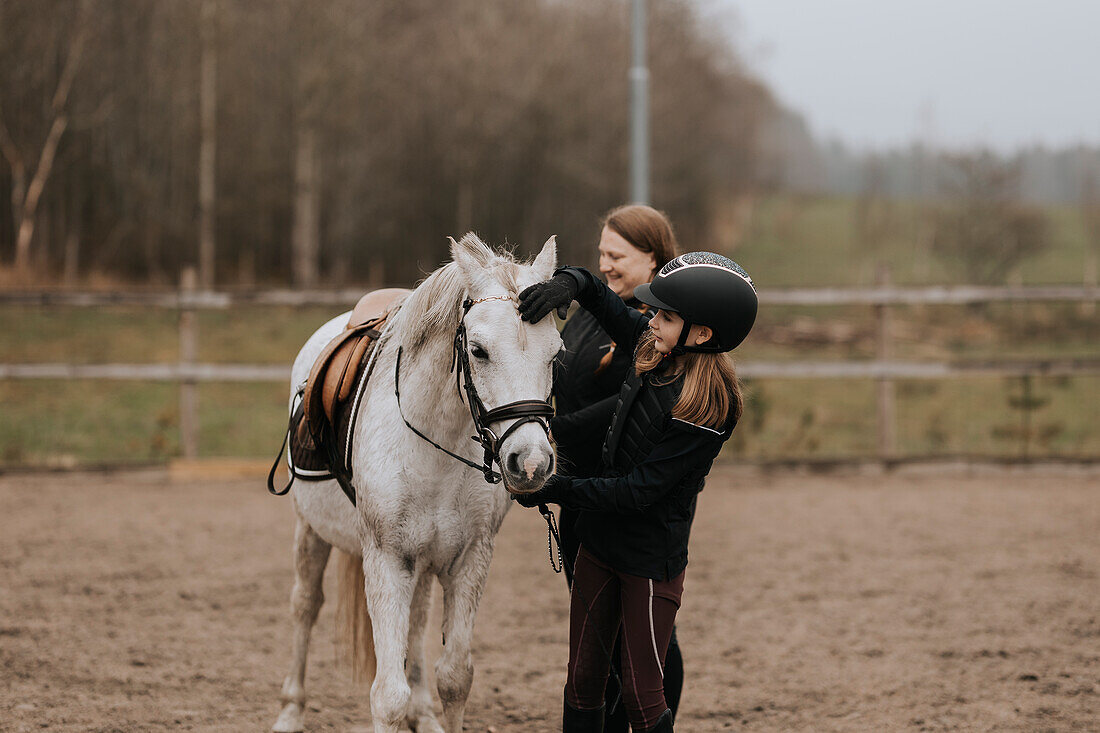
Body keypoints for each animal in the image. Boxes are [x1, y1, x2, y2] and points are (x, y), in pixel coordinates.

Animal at [271, 234, 563, 730]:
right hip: (312, 531)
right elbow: (388, 695)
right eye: (479, 350)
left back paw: (423, 713)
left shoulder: (469, 558)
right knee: (305, 605)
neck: (434, 444)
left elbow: (456, 677)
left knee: (417, 622)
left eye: (556, 354)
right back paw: (291, 709)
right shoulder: (388, 560)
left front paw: (430, 706)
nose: (531, 463)